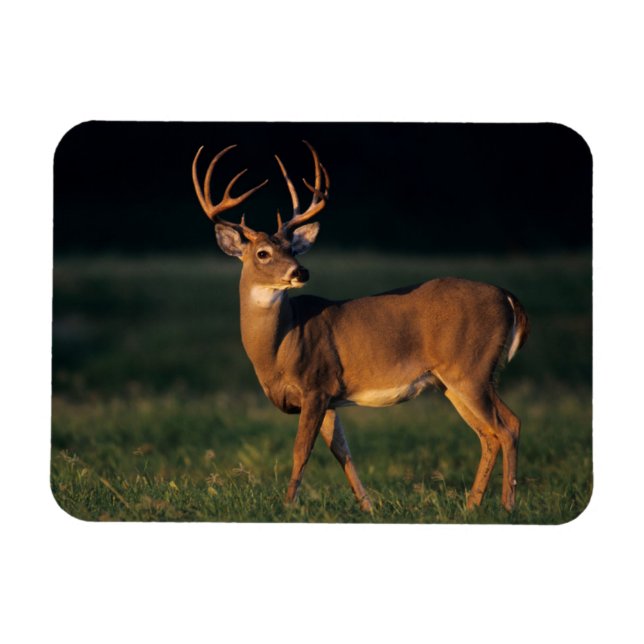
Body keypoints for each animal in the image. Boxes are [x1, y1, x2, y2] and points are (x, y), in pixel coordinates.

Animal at [191, 141, 529, 513]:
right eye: (263, 253)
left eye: (293, 248)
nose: (300, 271)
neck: (280, 346)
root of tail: (508, 297)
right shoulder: (329, 397)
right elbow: (343, 453)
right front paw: (368, 507)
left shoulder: (316, 384)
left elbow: (301, 451)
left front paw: (288, 505)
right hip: (453, 381)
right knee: (492, 432)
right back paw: (472, 505)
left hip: (471, 369)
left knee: (506, 427)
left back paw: (507, 505)